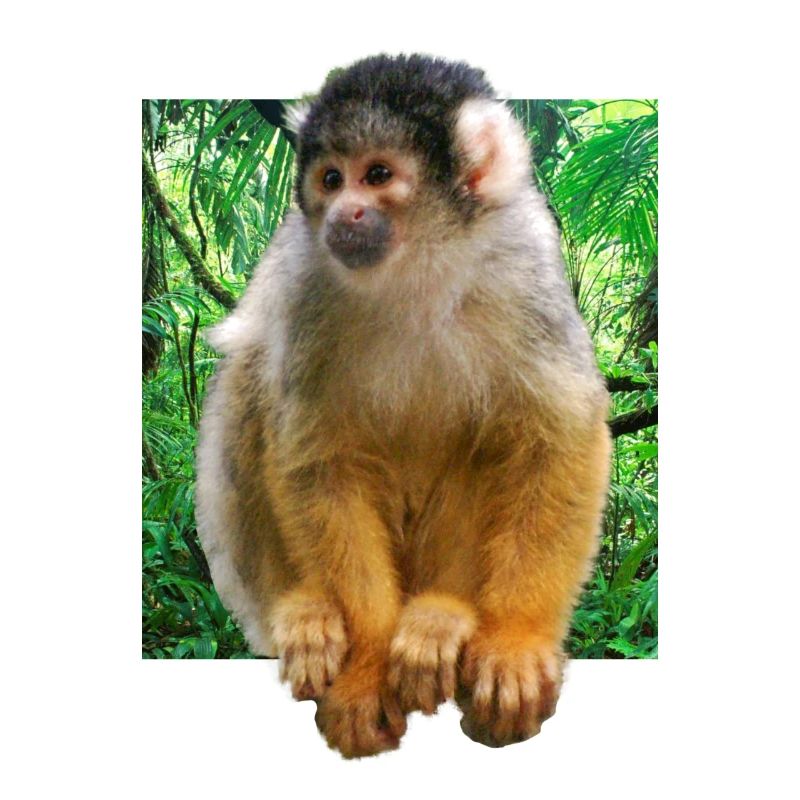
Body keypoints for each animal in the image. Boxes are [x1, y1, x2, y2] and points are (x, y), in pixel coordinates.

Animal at [195, 54, 611, 757]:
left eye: (379, 175)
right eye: (331, 179)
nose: (344, 214)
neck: (418, 267)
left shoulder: (523, 267)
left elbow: (558, 439)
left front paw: (516, 639)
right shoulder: (307, 282)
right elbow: (318, 461)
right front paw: (365, 667)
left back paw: (443, 616)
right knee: (252, 372)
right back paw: (302, 611)